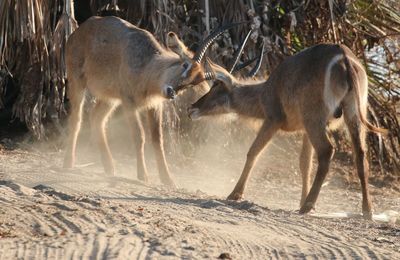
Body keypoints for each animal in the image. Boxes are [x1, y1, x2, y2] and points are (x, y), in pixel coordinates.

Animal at [63, 16, 234, 186]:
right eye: (185, 65)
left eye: (192, 84)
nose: (171, 92)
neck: (148, 68)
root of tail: (77, 31)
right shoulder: (129, 102)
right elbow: (139, 136)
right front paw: (143, 175)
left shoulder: (155, 105)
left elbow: (158, 139)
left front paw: (167, 179)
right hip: (77, 82)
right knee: (76, 119)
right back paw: (69, 163)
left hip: (110, 99)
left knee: (97, 118)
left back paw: (109, 167)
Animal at [189, 41, 386, 219]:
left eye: (216, 85)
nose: (192, 108)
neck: (266, 90)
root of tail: (344, 58)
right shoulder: (305, 130)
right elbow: (305, 163)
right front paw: (301, 199)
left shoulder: (272, 120)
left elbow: (253, 152)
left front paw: (234, 194)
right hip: (352, 115)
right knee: (360, 155)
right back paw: (367, 210)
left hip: (314, 119)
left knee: (327, 151)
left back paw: (307, 206)